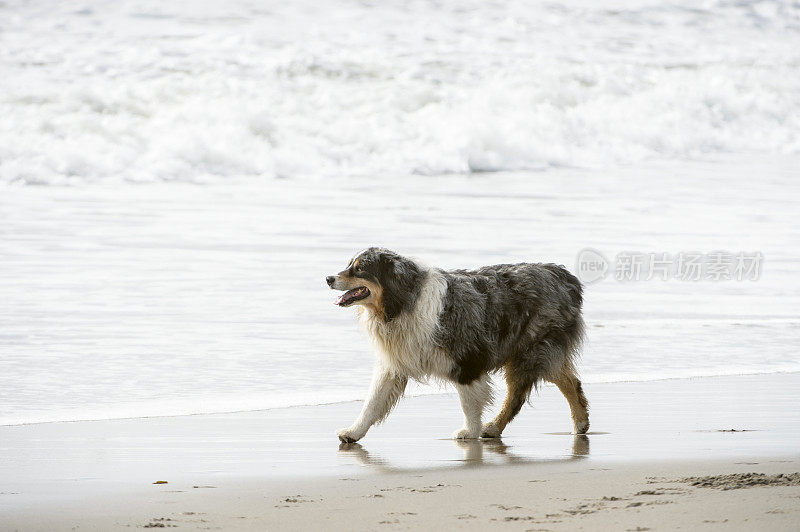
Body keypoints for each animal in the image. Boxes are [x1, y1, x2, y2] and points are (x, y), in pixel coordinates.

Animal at [324, 247, 588, 442]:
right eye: (349, 264)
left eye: (359, 268)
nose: (328, 278)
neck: (402, 302)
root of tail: (564, 276)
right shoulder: (393, 364)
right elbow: (372, 402)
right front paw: (353, 432)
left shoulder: (467, 358)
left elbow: (468, 402)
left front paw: (469, 431)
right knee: (569, 380)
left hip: (532, 351)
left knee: (524, 393)